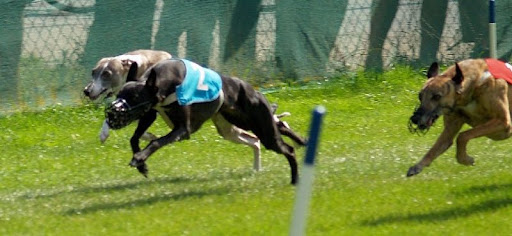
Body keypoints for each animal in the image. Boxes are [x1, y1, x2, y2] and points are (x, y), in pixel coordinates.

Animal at [103, 58, 304, 184]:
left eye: (134, 98)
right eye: (119, 95)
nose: (110, 116)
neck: (165, 82)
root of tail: (256, 92)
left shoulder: (183, 129)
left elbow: (156, 141)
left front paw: (139, 158)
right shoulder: (150, 112)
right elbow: (134, 138)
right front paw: (142, 166)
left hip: (262, 128)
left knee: (287, 148)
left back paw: (295, 178)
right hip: (240, 122)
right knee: (277, 126)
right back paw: (301, 141)